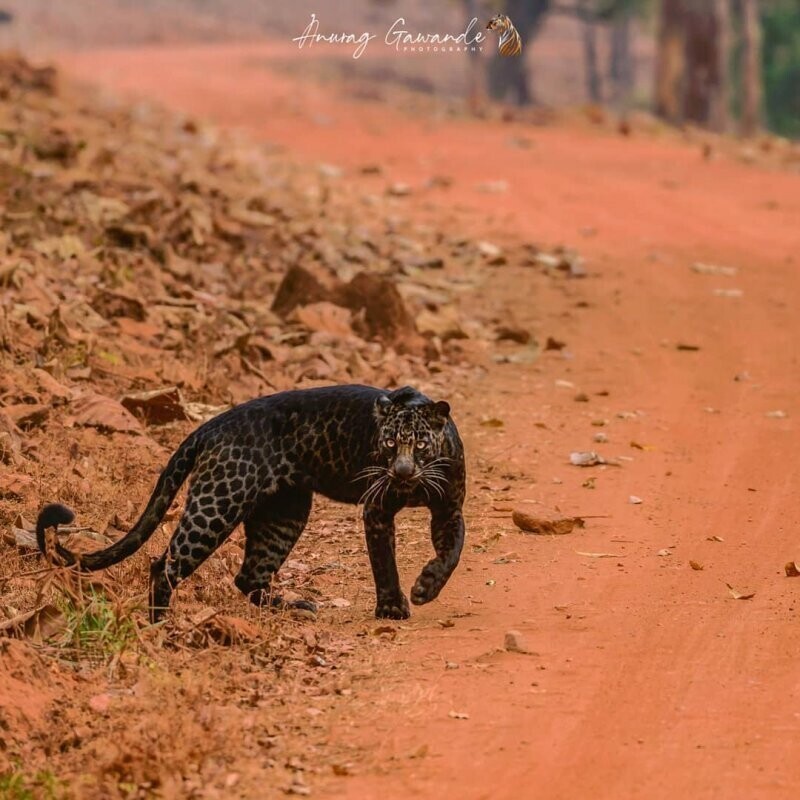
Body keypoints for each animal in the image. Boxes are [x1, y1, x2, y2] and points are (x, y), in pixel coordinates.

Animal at [36, 384, 462, 620]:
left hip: (284, 511)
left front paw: (426, 588)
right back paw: (162, 625)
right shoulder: (377, 511)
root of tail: (211, 425)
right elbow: (384, 561)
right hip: (219, 503)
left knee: (249, 576)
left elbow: (451, 553)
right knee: (165, 565)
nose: (402, 471)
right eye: (389, 442)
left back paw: (297, 608)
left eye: (419, 443)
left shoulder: (448, 510)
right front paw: (393, 608)